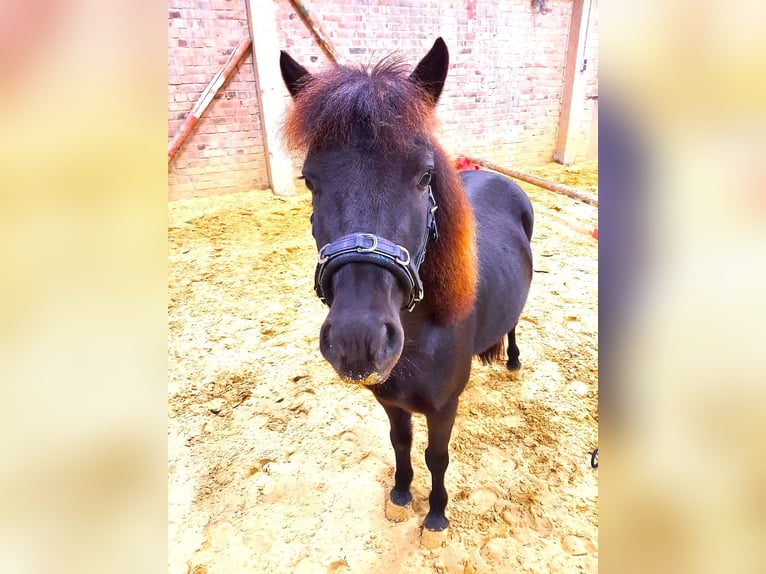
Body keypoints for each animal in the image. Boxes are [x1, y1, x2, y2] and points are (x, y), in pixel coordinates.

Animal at [279, 38, 534, 535]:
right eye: (310, 180)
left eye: (424, 176)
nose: (357, 341)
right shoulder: (391, 402)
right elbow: (400, 442)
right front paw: (400, 493)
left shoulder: (443, 407)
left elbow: (437, 457)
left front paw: (435, 513)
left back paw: (512, 359)